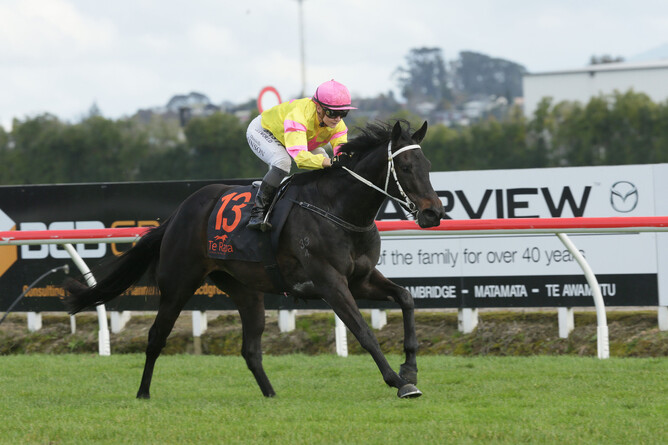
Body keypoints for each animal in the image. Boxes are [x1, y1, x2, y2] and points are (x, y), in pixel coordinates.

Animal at [64, 120, 445, 399]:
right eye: (406, 166)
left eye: (428, 165)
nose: (434, 213)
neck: (337, 209)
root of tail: (177, 214)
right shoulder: (330, 283)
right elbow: (363, 331)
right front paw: (399, 381)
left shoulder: (361, 279)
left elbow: (406, 298)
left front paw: (410, 367)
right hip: (178, 284)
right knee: (157, 336)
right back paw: (143, 393)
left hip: (246, 291)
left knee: (250, 349)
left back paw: (271, 395)